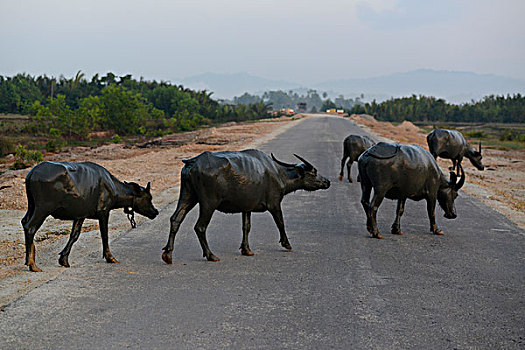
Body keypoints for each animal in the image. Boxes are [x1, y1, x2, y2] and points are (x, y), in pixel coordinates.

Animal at [21, 163, 160, 272]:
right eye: (149, 197)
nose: (156, 211)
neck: (113, 188)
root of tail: (32, 173)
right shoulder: (103, 212)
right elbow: (105, 235)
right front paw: (110, 257)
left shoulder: (80, 215)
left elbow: (74, 235)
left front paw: (64, 259)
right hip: (43, 208)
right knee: (30, 227)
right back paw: (32, 264)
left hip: (32, 206)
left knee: (24, 222)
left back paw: (28, 259)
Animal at [162, 149, 330, 264]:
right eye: (314, 172)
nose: (327, 182)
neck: (278, 174)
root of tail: (192, 162)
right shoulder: (274, 204)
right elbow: (281, 223)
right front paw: (287, 244)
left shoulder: (246, 208)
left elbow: (246, 227)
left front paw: (246, 250)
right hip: (208, 203)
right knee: (200, 227)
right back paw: (211, 255)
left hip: (187, 195)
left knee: (175, 219)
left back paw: (168, 254)